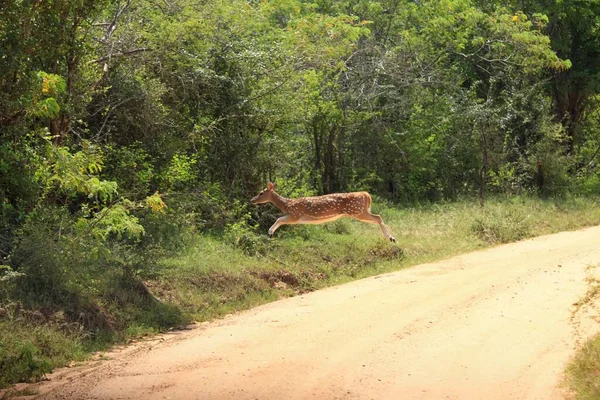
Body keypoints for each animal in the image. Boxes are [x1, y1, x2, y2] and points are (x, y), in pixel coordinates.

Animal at [251, 182, 396, 244]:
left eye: (261, 193)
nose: (252, 200)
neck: (287, 204)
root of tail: (366, 195)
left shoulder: (296, 215)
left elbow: (279, 219)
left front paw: (270, 233)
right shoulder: (295, 217)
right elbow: (279, 220)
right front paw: (270, 234)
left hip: (357, 211)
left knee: (378, 217)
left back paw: (391, 237)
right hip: (360, 211)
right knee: (378, 217)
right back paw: (391, 238)